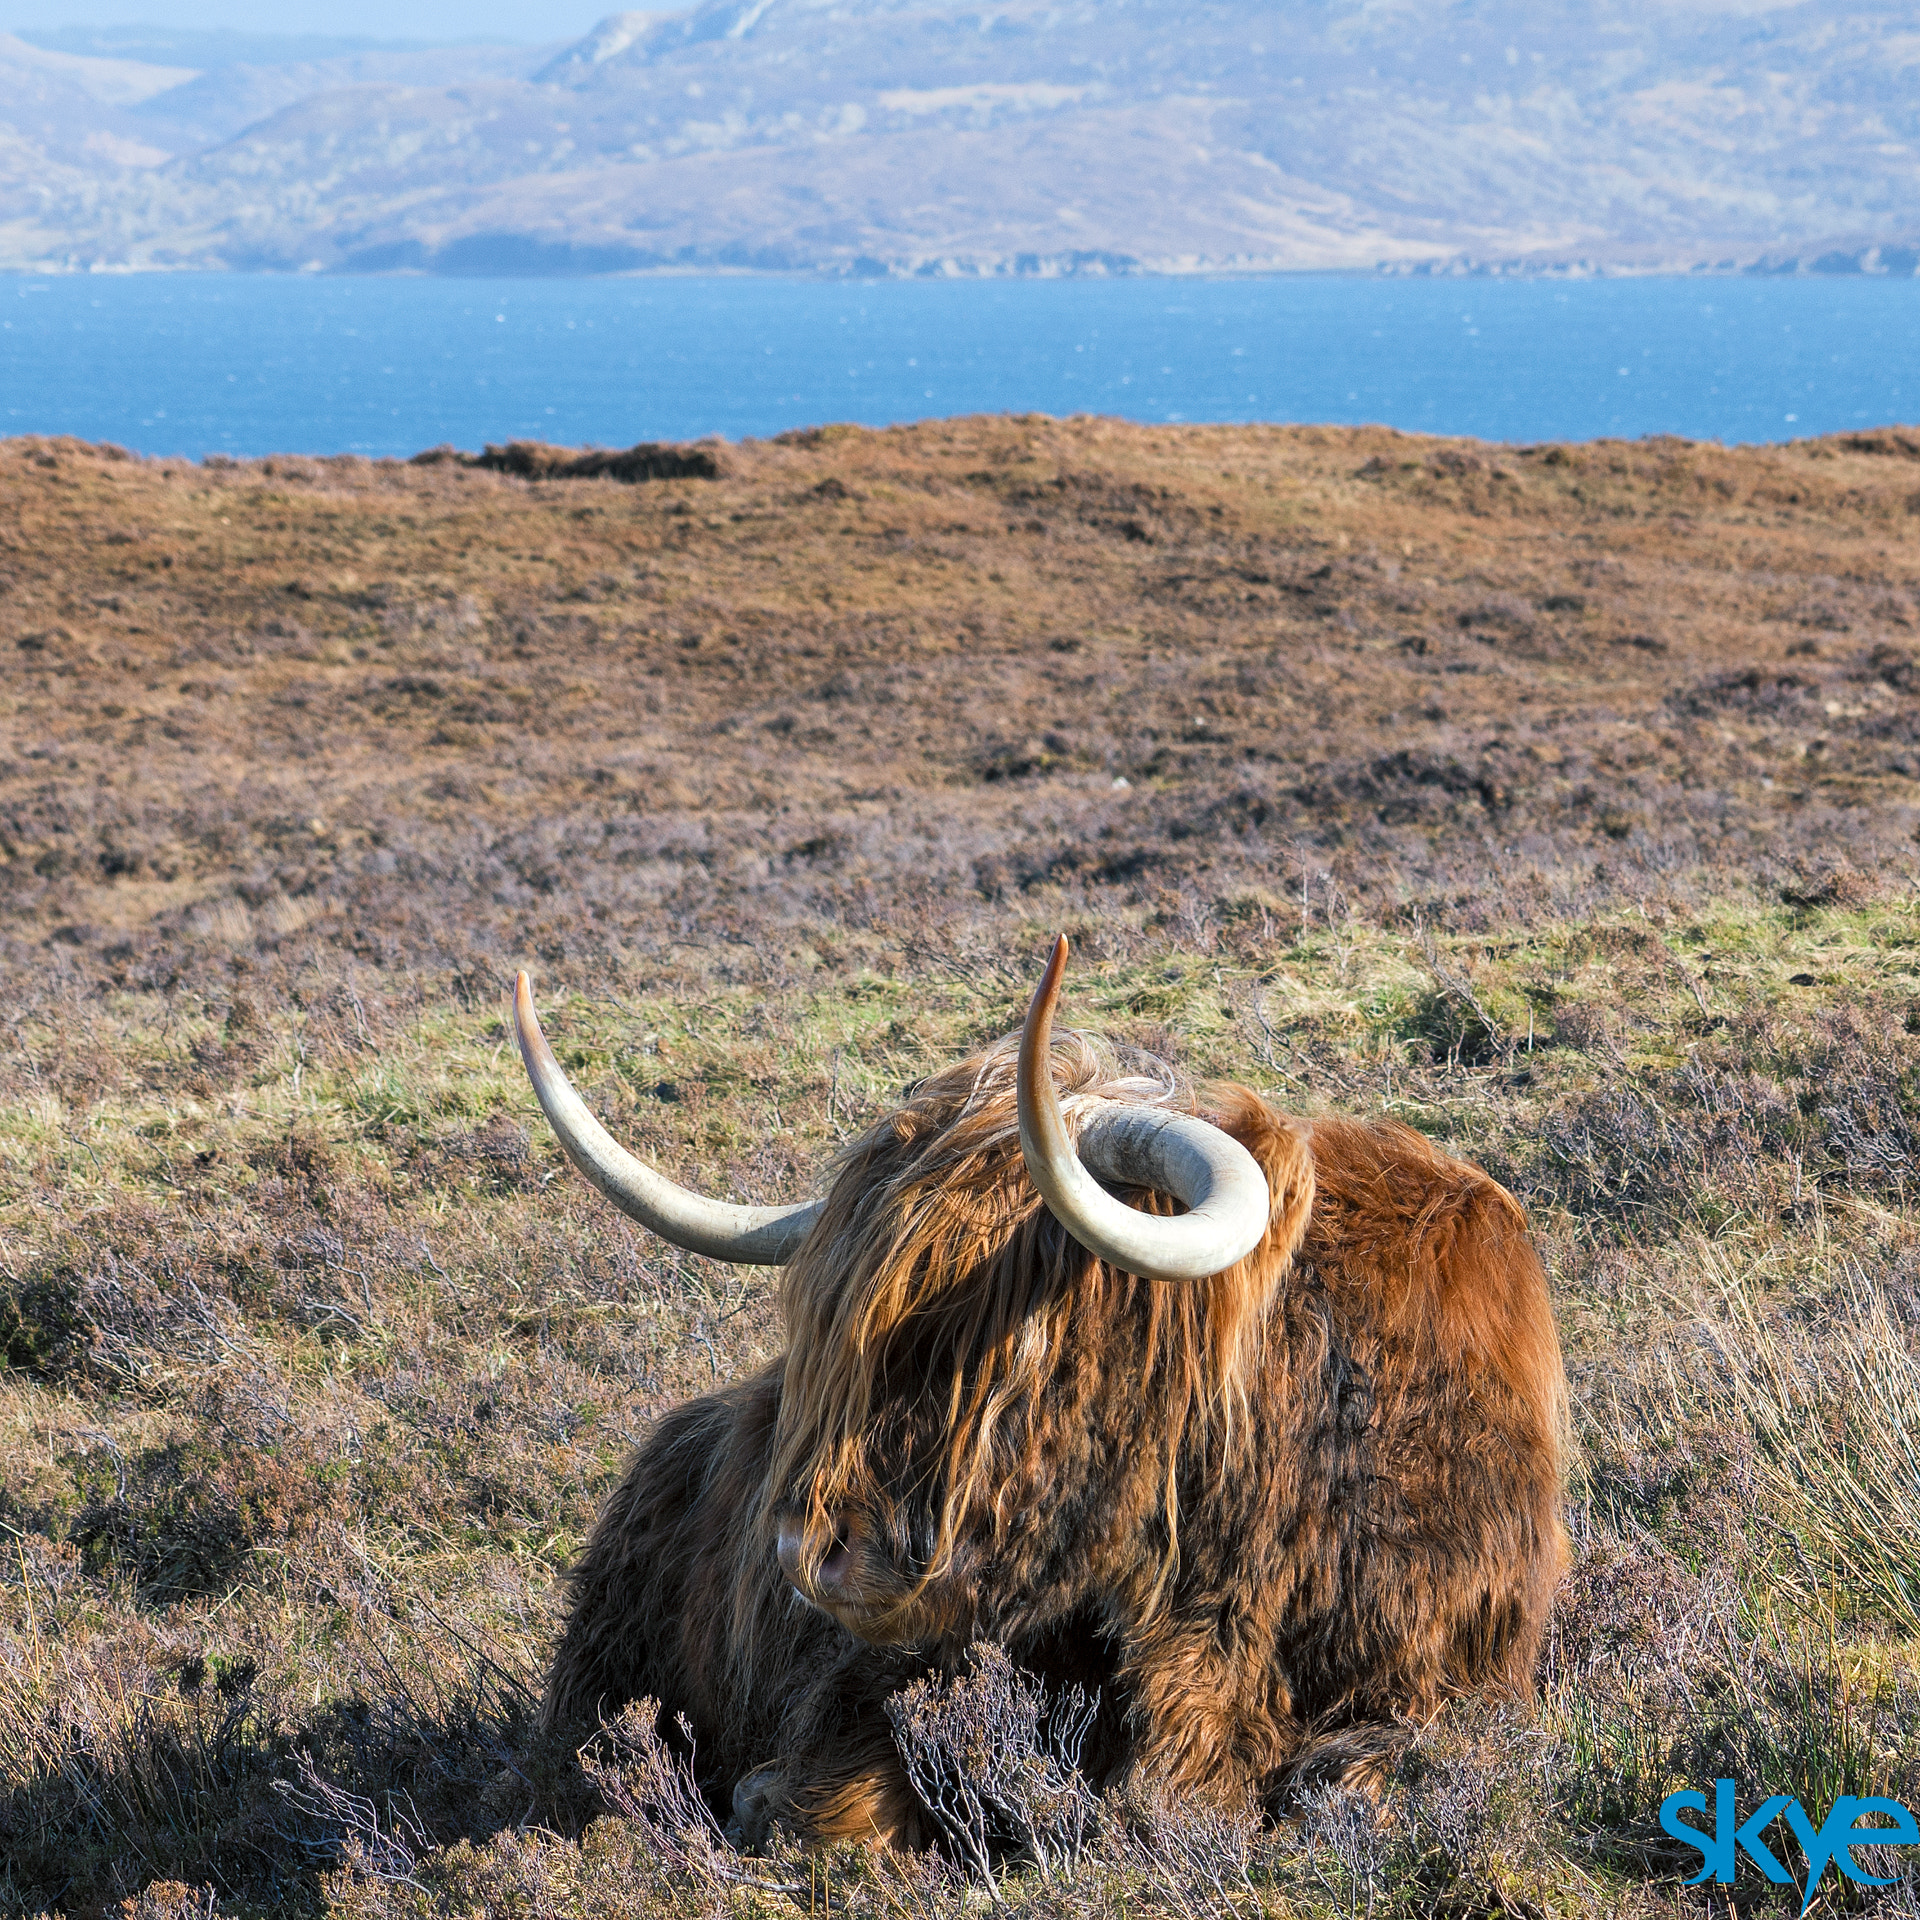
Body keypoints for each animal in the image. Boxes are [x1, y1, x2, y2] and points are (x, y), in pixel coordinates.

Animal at [518, 940, 1566, 1843]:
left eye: (1012, 1343)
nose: (811, 1553)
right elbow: (850, 1799)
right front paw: (769, 1796)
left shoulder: (1466, 1679)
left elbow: (1351, 1782)